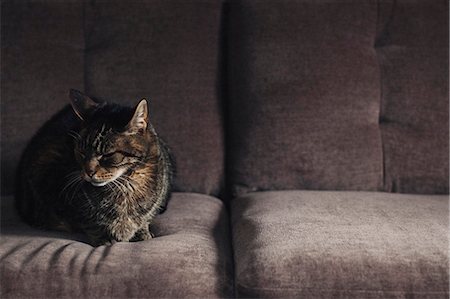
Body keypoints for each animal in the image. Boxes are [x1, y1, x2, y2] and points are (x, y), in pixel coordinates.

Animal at [15, 90, 174, 247]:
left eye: (108, 154)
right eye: (81, 152)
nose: (88, 172)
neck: (127, 185)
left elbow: (146, 218)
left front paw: (142, 232)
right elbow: (89, 222)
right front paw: (103, 237)